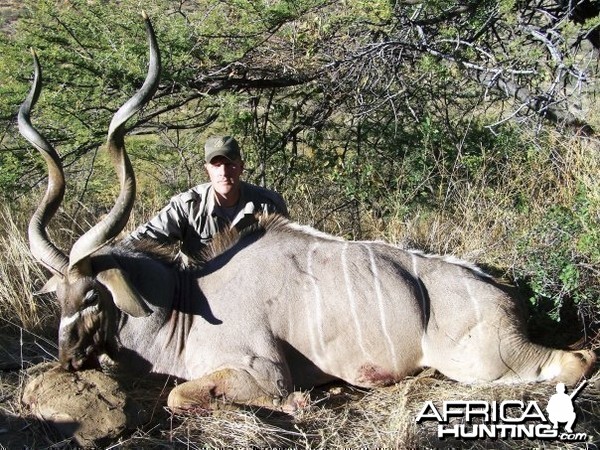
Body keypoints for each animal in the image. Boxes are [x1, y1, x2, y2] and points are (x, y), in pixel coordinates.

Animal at [18, 14, 596, 414]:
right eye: (57, 296)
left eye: (92, 295)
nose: (67, 359)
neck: (183, 302)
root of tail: (507, 293)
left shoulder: (262, 371)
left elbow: (185, 397)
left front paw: (301, 403)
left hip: (488, 364)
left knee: (575, 361)